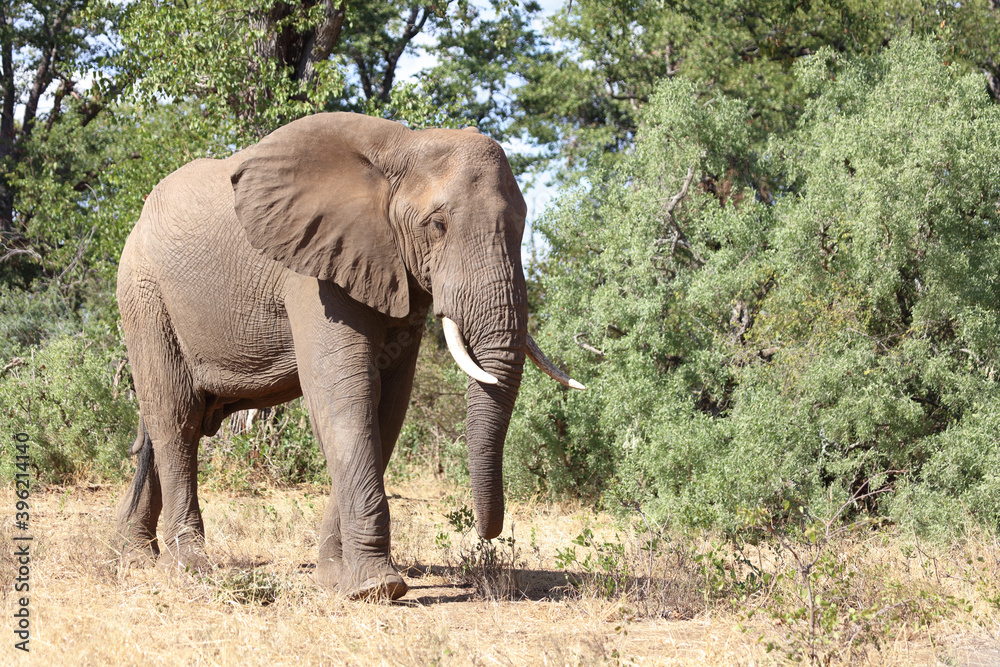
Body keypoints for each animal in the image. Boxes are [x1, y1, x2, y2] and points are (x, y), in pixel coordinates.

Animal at [115, 112, 584, 604]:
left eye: (523, 224)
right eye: (437, 225)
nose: (487, 534)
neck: (403, 148)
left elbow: (387, 407)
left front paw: (337, 578)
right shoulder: (313, 269)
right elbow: (344, 395)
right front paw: (378, 588)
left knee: (162, 422)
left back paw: (135, 557)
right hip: (143, 294)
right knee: (176, 417)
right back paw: (189, 568)